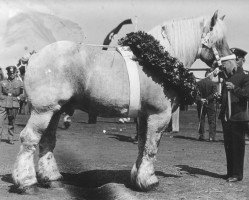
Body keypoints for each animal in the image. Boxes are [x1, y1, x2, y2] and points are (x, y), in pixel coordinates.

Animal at [12, 11, 237, 192]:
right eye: (219, 41)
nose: (233, 68)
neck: (161, 62)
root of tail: (33, 57)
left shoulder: (144, 116)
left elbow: (142, 145)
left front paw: (137, 178)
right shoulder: (159, 115)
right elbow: (151, 147)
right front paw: (149, 181)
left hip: (56, 110)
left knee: (47, 141)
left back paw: (51, 178)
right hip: (43, 111)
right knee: (29, 139)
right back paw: (26, 182)